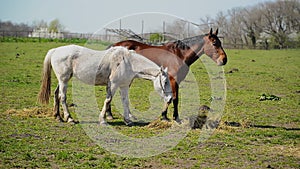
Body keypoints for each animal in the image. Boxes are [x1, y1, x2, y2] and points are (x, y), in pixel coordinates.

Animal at [38, 45, 172, 125]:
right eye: (165, 82)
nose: (170, 99)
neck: (128, 62)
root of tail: (55, 50)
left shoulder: (123, 86)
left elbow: (125, 102)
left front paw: (128, 120)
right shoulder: (113, 84)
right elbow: (108, 100)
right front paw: (103, 119)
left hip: (63, 80)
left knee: (56, 94)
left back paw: (58, 117)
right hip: (64, 80)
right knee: (63, 97)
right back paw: (69, 118)